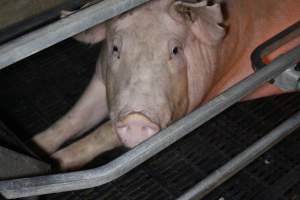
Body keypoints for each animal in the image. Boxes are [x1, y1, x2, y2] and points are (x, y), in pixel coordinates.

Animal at [31, 0, 300, 170]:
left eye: (175, 50)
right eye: (116, 48)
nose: (136, 118)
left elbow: (102, 133)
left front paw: (56, 163)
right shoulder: (100, 78)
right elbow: (72, 119)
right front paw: (37, 151)